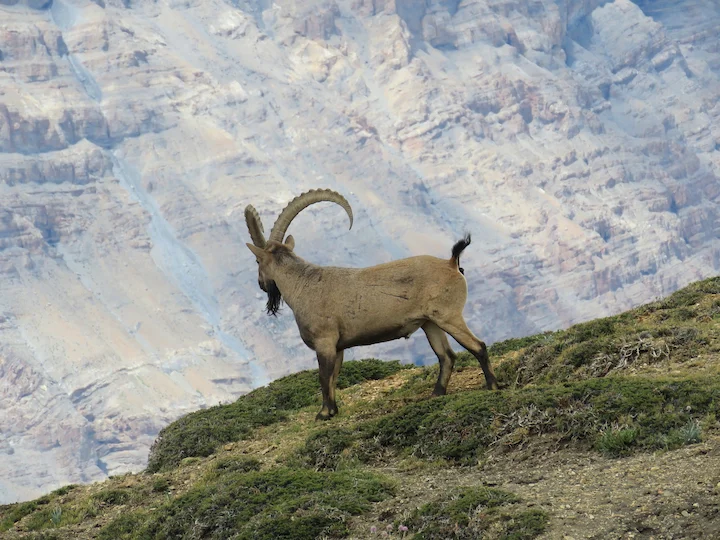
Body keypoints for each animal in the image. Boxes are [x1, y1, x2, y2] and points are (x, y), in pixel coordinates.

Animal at [245, 189, 498, 420]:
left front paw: (323, 414)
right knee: (446, 356)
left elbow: (323, 376)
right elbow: (334, 377)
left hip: (448, 315)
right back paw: (436, 394)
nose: (261, 284)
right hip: (430, 323)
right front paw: (333, 411)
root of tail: (451, 263)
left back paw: (493, 386)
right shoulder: (338, 346)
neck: (303, 284)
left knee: (478, 346)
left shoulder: (324, 342)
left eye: (257, 261)